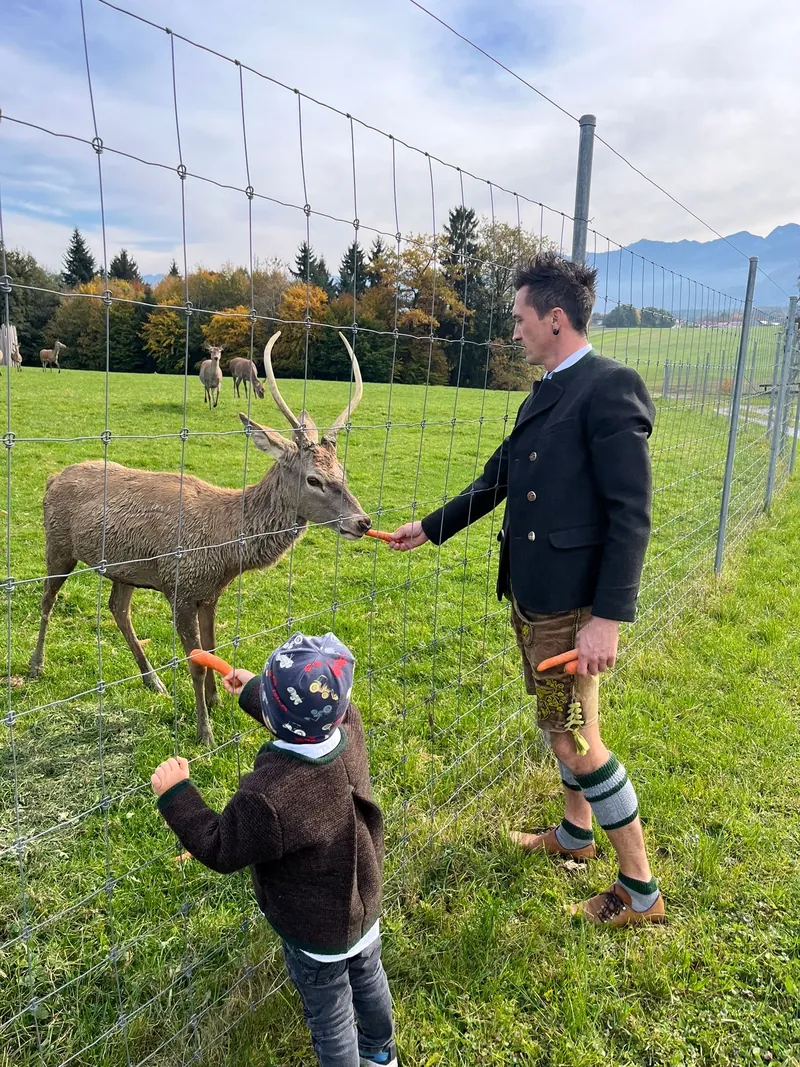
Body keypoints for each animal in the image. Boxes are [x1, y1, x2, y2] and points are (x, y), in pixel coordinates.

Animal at [28, 331, 371, 745]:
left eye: (343, 472)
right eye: (313, 479)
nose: (363, 521)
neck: (224, 549)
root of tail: (51, 479)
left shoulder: (208, 593)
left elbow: (213, 648)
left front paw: (217, 700)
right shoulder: (181, 587)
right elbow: (195, 664)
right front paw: (204, 731)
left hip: (124, 569)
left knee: (117, 609)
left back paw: (153, 681)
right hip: (58, 544)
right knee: (47, 599)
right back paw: (36, 666)